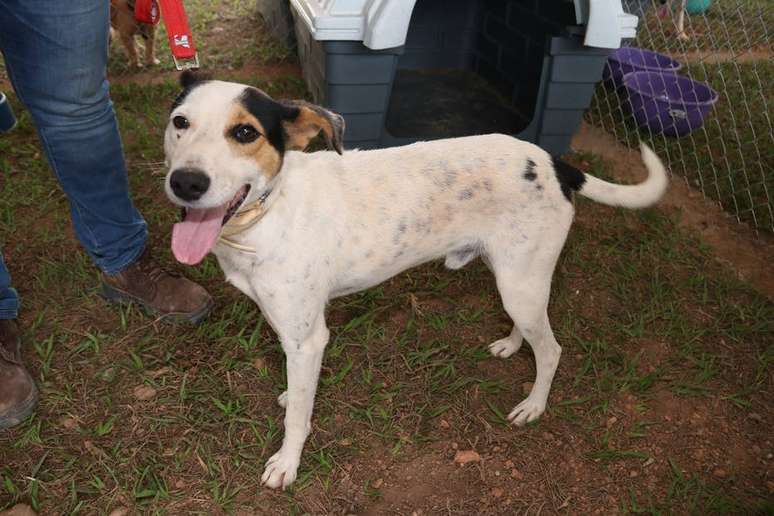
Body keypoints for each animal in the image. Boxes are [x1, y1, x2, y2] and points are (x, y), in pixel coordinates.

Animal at [165, 71, 672, 488]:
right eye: (180, 122)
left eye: (245, 132)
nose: (185, 182)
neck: (269, 210)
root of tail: (554, 163)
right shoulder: (290, 327)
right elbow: (300, 392)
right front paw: (294, 395)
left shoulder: (309, 338)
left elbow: (299, 420)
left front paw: (287, 464)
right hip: (514, 277)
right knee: (531, 328)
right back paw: (511, 345)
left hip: (521, 282)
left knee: (552, 350)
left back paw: (534, 405)